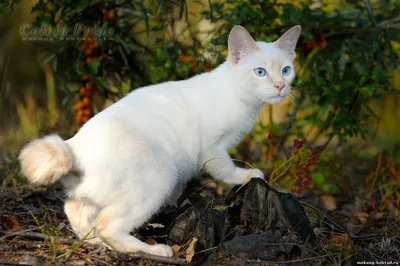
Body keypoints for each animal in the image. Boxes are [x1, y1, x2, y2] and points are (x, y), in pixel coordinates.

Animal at [18, 24, 300, 256]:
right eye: (260, 72)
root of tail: (72, 146)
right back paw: (155, 251)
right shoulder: (212, 148)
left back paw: (96, 243)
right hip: (159, 177)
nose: (280, 86)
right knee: (107, 225)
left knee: (75, 210)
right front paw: (248, 175)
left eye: (286, 70)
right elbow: (225, 170)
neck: (241, 98)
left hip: (94, 195)